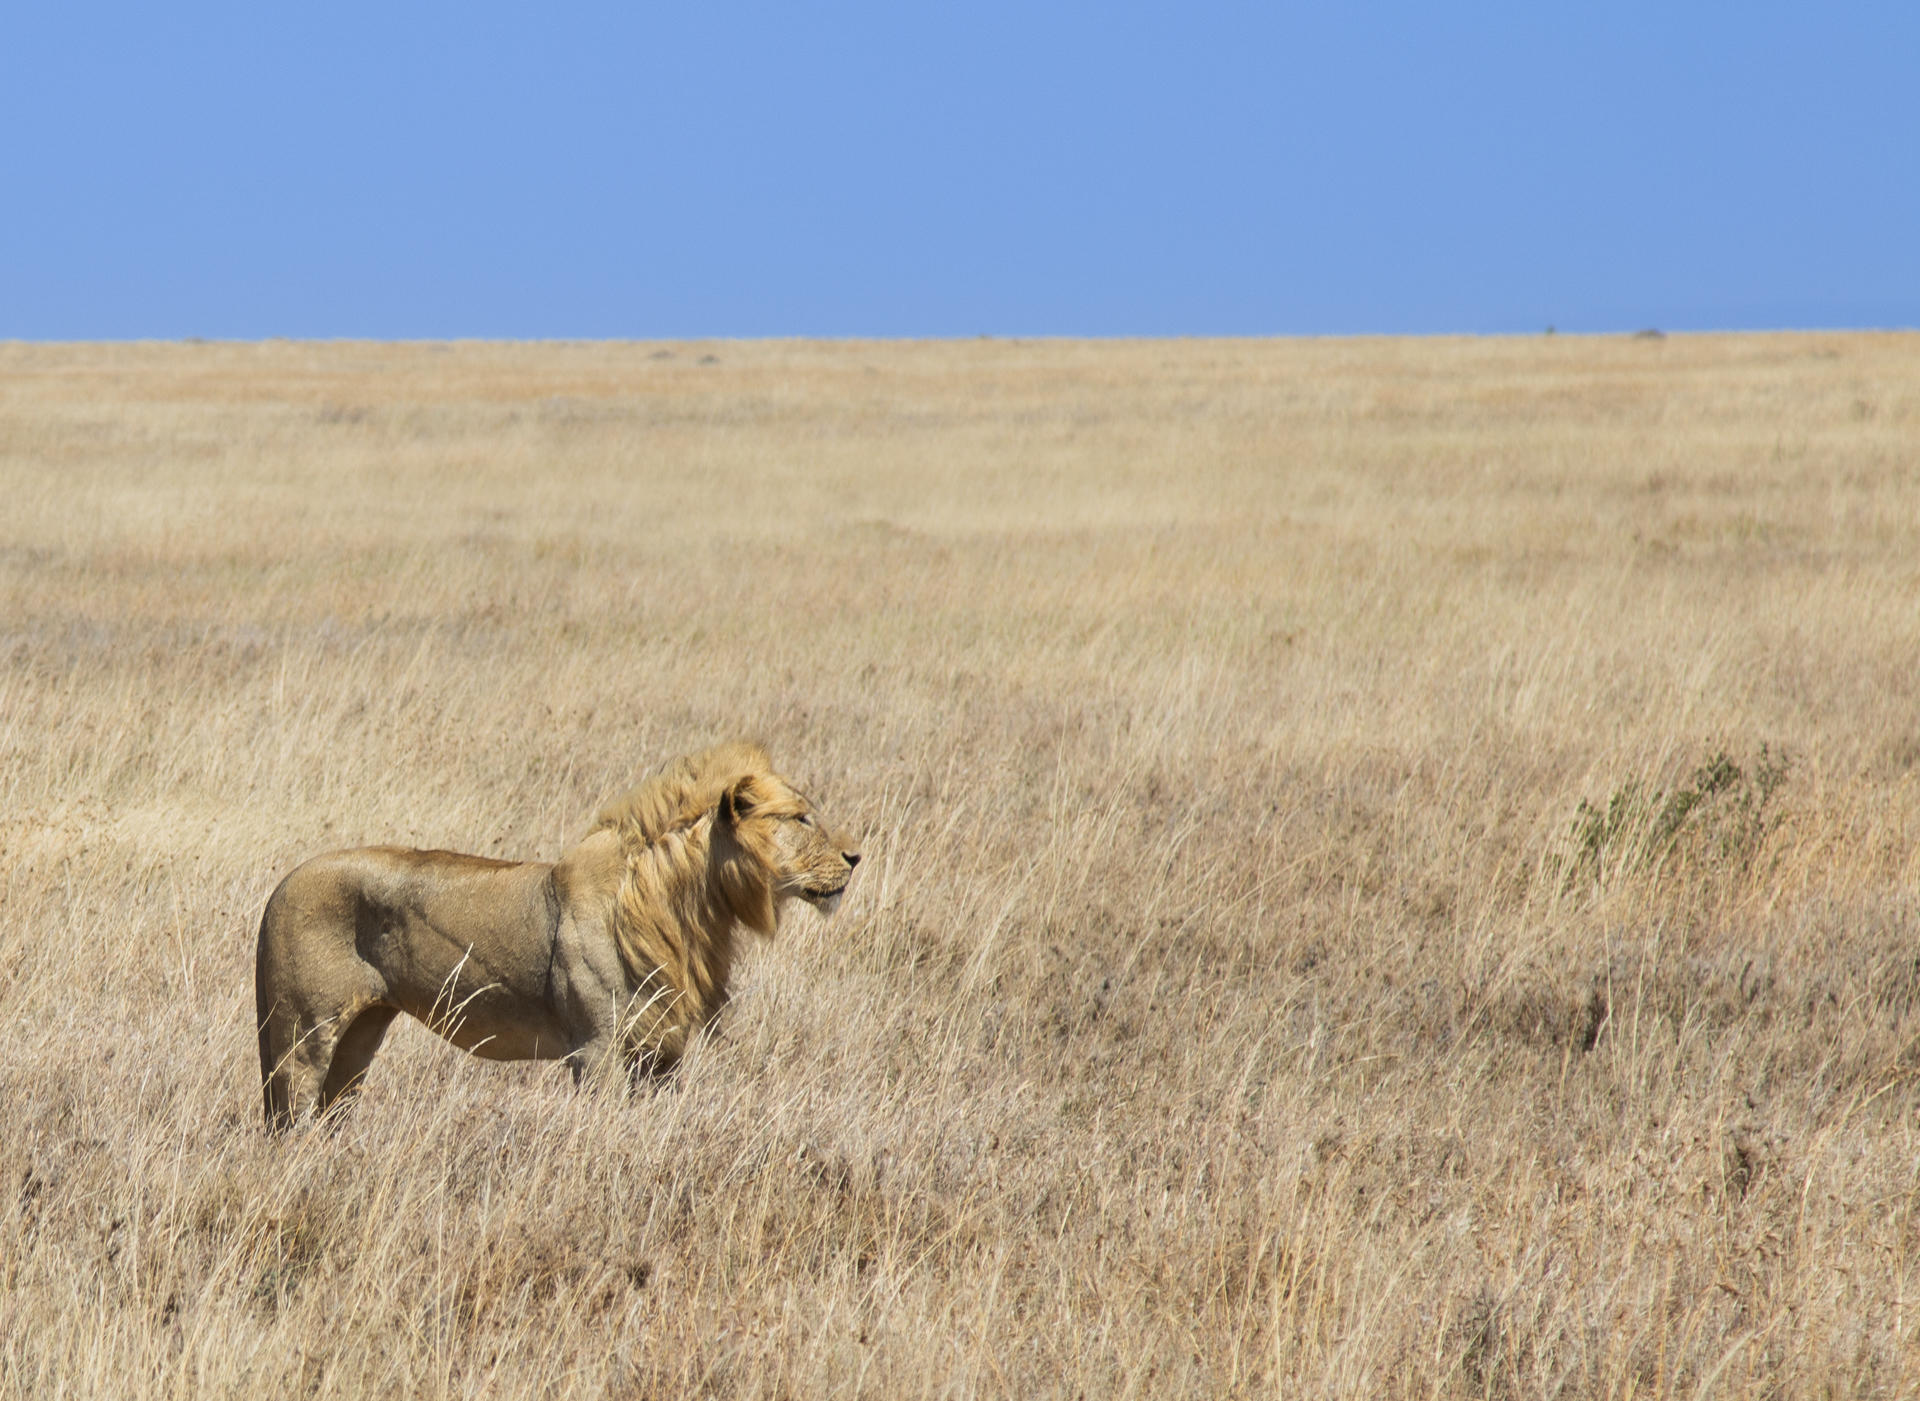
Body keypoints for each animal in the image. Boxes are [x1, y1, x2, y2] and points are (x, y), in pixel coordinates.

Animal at [254, 742, 859, 1130]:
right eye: (801, 818)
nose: (856, 857)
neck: (689, 908)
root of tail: (281, 886)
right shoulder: (595, 1048)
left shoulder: (660, 1052)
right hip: (303, 1034)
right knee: (292, 1121)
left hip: (360, 1035)